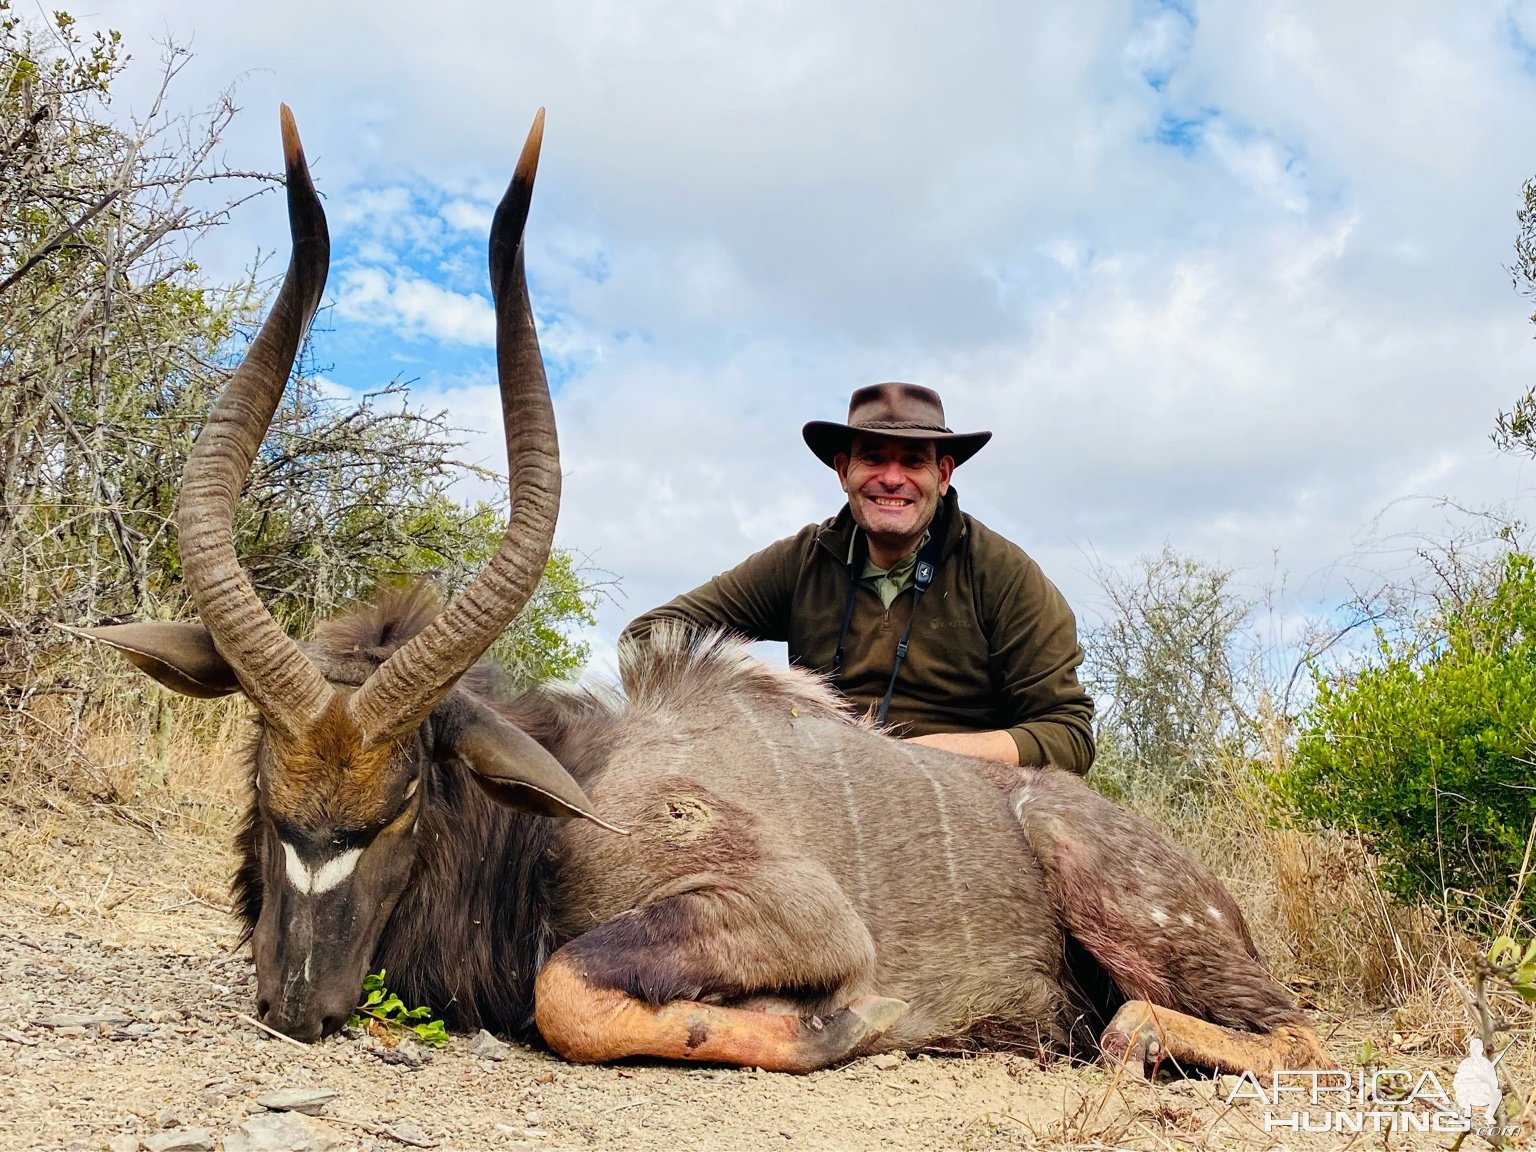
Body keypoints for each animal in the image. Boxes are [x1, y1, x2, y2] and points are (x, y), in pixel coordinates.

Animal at [81, 110, 1333, 1081]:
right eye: (265, 788)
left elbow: (568, 992)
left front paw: (843, 1026)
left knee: (1288, 1034)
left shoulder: (792, 913)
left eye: (402, 802)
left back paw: (1128, 1041)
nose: (298, 1001)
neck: (560, 808)